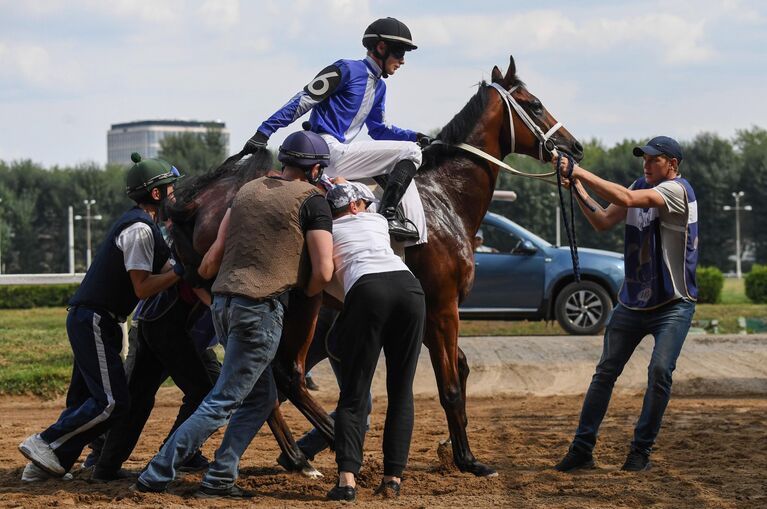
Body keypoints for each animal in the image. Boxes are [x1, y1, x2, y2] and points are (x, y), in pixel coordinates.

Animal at [171, 54, 584, 476]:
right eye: (535, 104)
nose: (575, 147)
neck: (446, 197)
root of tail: (202, 201)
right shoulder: (443, 305)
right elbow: (450, 386)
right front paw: (468, 460)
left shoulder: (428, 307)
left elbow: (462, 368)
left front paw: (454, 449)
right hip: (300, 301)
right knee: (285, 373)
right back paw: (329, 444)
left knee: (257, 381)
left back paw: (298, 456)